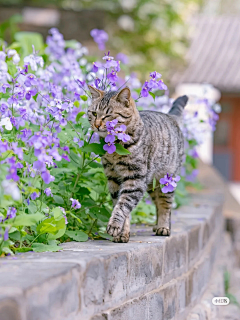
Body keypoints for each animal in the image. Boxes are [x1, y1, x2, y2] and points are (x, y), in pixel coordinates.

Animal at [87, 85, 188, 242]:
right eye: (94, 113)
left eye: (108, 116)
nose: (97, 125)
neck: (116, 148)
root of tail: (170, 116)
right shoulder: (113, 179)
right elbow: (120, 205)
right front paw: (122, 233)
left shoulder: (134, 179)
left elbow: (123, 205)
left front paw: (115, 225)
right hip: (151, 184)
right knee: (157, 203)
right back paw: (157, 225)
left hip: (166, 179)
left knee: (165, 205)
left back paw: (164, 227)